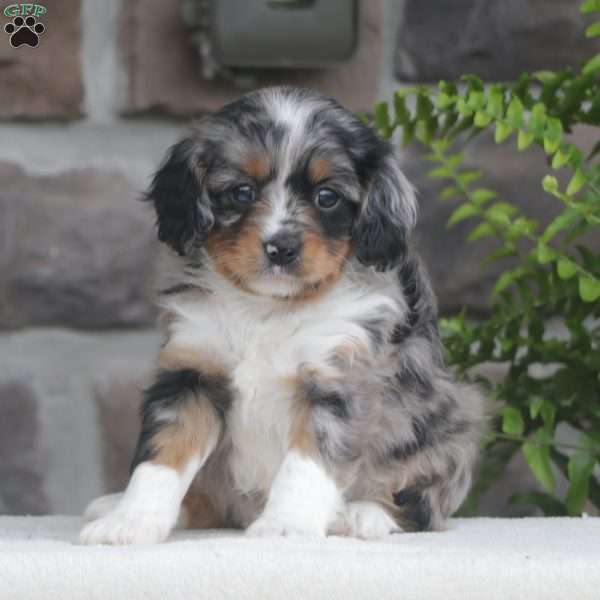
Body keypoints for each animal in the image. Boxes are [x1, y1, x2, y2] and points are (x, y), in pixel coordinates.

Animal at [79, 85, 486, 544]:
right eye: (241, 192)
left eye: (327, 197)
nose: (281, 248)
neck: (267, 308)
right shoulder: (191, 374)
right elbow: (162, 456)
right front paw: (131, 520)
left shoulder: (340, 381)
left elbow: (305, 465)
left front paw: (285, 526)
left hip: (452, 425)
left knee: (422, 505)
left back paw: (362, 514)